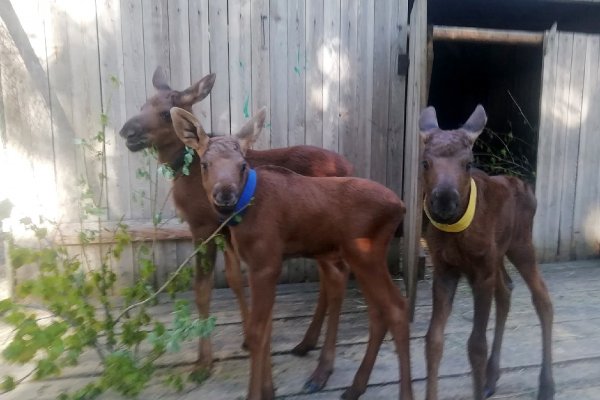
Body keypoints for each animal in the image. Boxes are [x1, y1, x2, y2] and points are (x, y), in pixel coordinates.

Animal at [169, 106, 412, 400]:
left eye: (242, 165)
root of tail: (400, 207)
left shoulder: (266, 264)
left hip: (365, 255)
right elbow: (265, 330)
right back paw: (356, 385)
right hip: (361, 259)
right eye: (205, 164)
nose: (224, 195)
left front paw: (257, 393)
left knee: (396, 308)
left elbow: (257, 332)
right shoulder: (260, 266)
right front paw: (268, 389)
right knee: (378, 313)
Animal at [422, 104, 552, 398]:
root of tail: (528, 188)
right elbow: (433, 340)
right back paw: (492, 377)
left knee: (542, 298)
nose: (444, 200)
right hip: (499, 255)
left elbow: (476, 346)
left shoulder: (481, 273)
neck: (455, 233)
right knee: (506, 290)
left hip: (521, 246)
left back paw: (547, 385)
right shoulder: (445, 271)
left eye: (467, 163)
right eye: (425, 163)